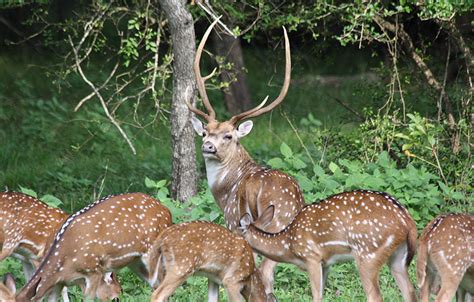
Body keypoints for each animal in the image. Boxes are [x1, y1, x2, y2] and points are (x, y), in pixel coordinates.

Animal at [15, 192, 173, 300]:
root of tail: (167, 211)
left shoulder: (94, 271)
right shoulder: (59, 283)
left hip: (155, 255)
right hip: (136, 262)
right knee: (157, 287)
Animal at [187, 18, 306, 292]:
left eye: (229, 136)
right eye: (205, 132)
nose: (208, 146)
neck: (224, 191)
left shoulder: (232, 221)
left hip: (268, 225)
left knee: (263, 275)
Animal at [239, 190, 416, 300]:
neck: (288, 245)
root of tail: (406, 221)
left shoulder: (311, 256)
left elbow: (316, 296)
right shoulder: (326, 263)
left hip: (369, 254)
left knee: (375, 296)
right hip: (398, 258)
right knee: (410, 291)